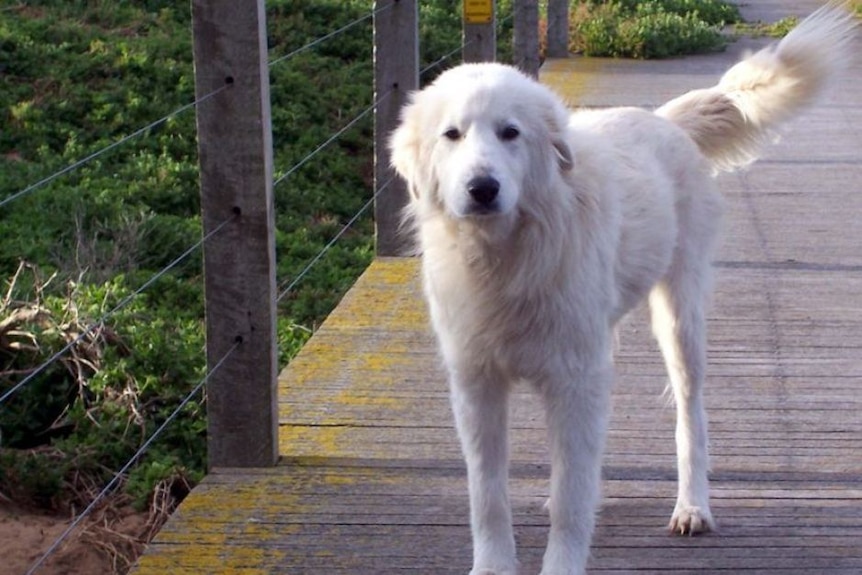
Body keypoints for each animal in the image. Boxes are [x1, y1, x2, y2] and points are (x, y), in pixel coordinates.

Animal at [390, 4, 856, 575]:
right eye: (452, 134)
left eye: (510, 133)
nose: (482, 188)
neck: (507, 255)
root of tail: (665, 120)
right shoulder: (478, 383)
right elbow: (489, 497)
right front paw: (493, 566)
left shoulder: (574, 377)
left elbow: (570, 501)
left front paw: (562, 563)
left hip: (679, 322)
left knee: (690, 417)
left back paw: (692, 507)